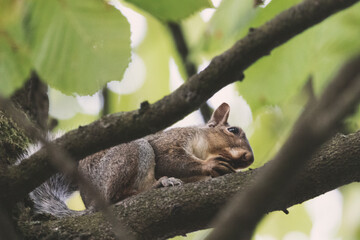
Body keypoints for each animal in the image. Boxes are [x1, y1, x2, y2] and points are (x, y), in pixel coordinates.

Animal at [23, 102, 253, 218]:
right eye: (233, 130)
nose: (249, 157)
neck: (204, 150)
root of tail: (91, 204)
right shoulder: (169, 142)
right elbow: (169, 160)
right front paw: (210, 165)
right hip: (131, 153)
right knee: (115, 197)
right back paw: (158, 184)